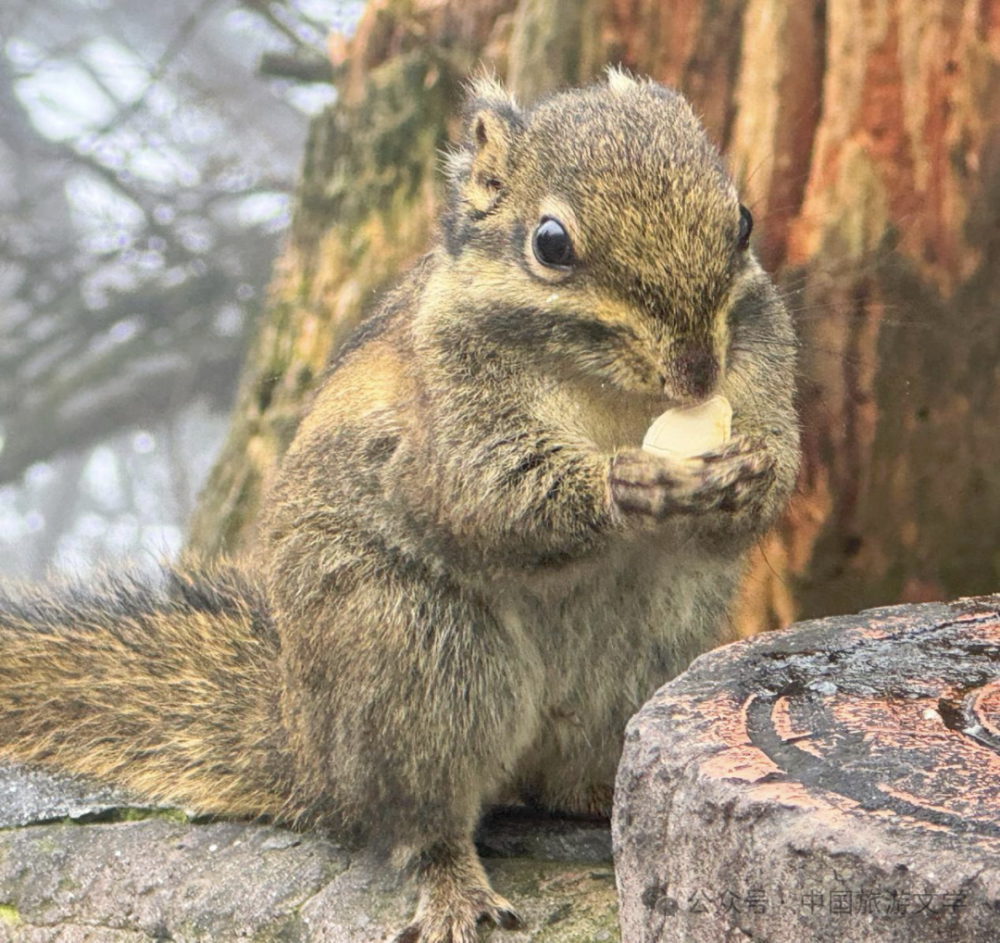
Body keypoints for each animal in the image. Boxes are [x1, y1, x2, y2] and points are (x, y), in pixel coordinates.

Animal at [0, 72, 796, 943]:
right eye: (551, 244)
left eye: (743, 220)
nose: (696, 372)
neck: (612, 392)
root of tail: (308, 749)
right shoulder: (443, 413)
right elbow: (489, 494)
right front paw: (631, 482)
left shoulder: (761, 359)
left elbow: (770, 467)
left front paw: (752, 471)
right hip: (414, 656)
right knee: (419, 821)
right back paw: (456, 885)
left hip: (646, 658)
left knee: (566, 781)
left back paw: (602, 811)